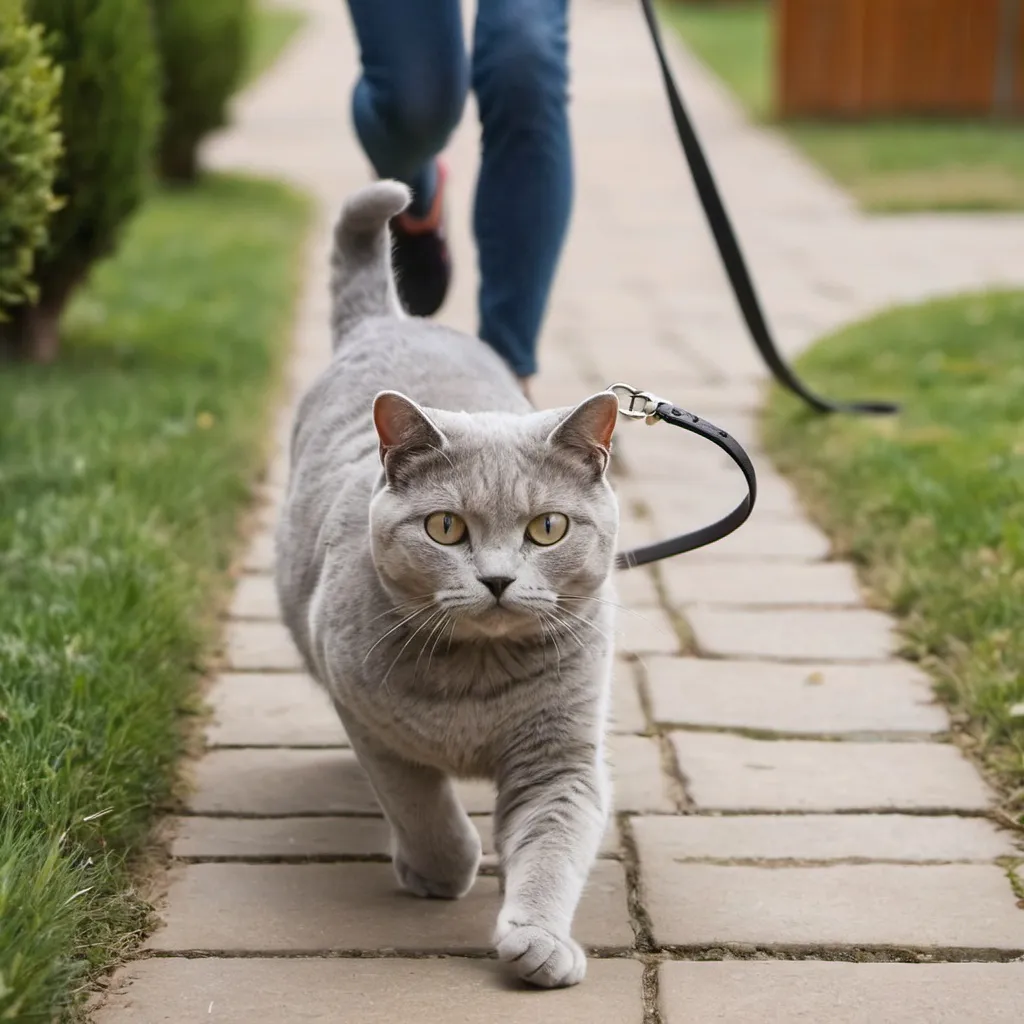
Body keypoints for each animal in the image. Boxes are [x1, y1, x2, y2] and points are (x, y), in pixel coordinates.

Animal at [276, 180, 618, 987]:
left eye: (548, 529)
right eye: (446, 528)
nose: (495, 579)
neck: (476, 682)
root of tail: (391, 320)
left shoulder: (561, 758)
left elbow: (553, 848)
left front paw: (538, 942)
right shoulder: (371, 724)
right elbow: (421, 806)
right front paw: (440, 871)